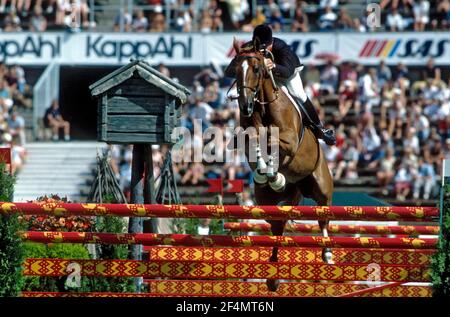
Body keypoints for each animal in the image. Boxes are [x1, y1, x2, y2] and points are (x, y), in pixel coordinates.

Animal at [230, 38, 332, 290]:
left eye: (257, 69)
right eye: (235, 71)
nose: (245, 105)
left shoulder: (289, 142)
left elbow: (272, 142)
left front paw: (272, 172)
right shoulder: (247, 136)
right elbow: (254, 142)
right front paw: (265, 173)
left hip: (321, 187)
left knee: (323, 217)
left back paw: (327, 254)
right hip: (269, 203)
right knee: (277, 227)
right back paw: (273, 277)